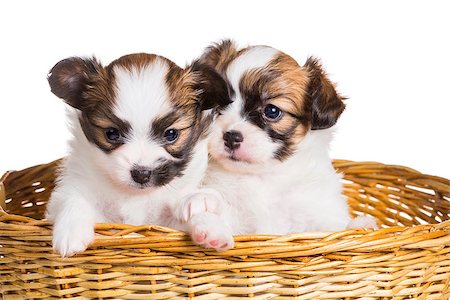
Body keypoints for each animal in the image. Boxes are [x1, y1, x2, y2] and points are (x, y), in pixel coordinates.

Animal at [45, 52, 229, 256]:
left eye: (171, 134)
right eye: (111, 133)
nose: (141, 173)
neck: (136, 196)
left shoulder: (166, 223)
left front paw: (208, 223)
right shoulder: (77, 192)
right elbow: (73, 199)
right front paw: (71, 231)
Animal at [176, 39, 376, 251]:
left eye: (272, 111)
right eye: (219, 107)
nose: (231, 136)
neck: (264, 178)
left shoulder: (318, 215)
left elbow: (334, 229)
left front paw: (360, 225)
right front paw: (207, 218)